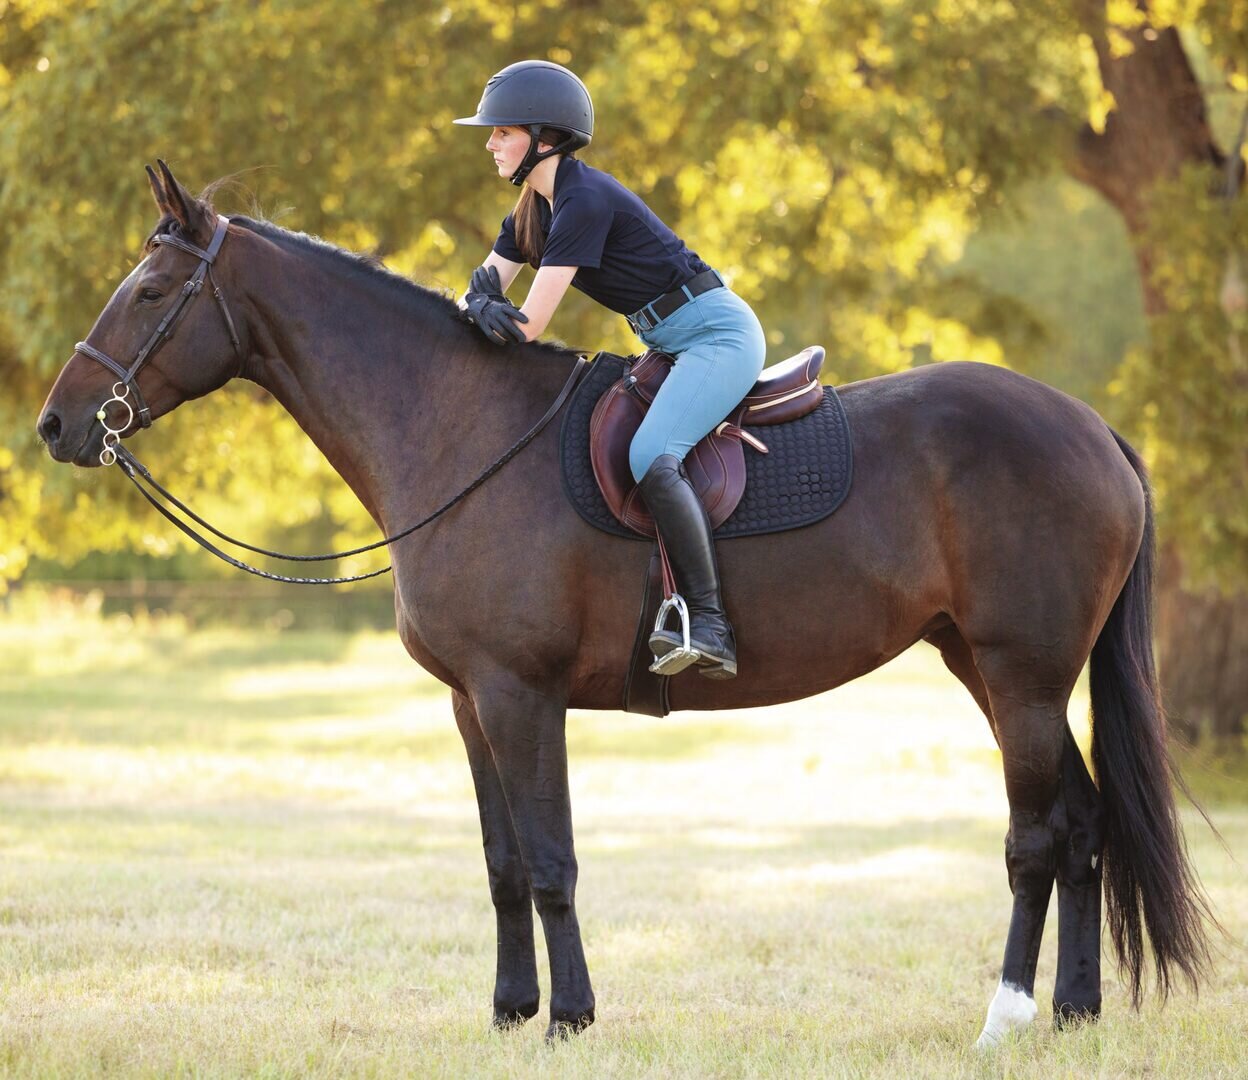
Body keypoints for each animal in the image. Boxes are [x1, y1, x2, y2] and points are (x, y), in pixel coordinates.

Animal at [36, 162, 1213, 1046]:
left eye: (150, 293)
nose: (58, 423)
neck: (455, 428)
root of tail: (1092, 428)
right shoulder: (470, 703)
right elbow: (504, 863)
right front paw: (510, 1012)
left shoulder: (522, 696)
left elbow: (552, 861)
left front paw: (571, 1019)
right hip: (987, 666)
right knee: (1083, 825)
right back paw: (1073, 1014)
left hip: (1021, 674)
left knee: (1037, 840)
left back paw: (1005, 1018)